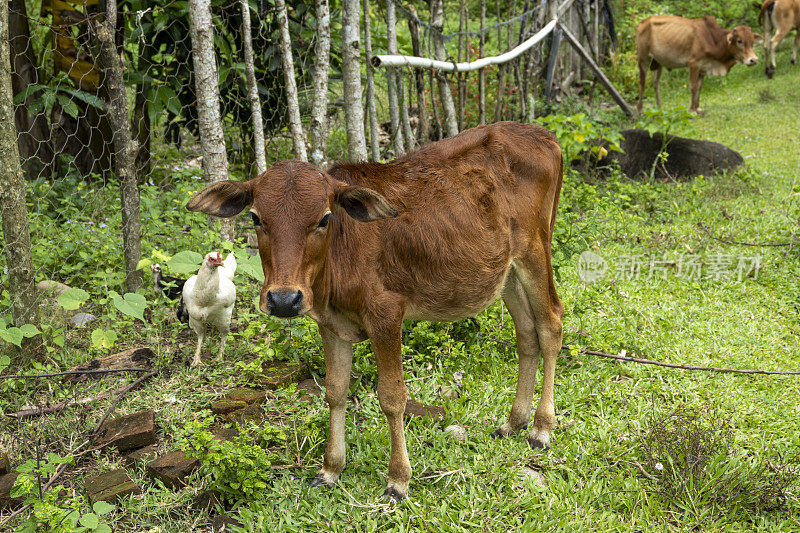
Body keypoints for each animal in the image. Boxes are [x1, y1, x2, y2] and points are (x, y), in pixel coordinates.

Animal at [186, 121, 564, 498]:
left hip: (534, 251)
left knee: (551, 325)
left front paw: (398, 479)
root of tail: (542, 135)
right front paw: (330, 468)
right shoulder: (330, 323)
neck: (341, 255)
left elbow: (392, 397)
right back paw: (514, 422)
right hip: (507, 272)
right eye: (255, 217)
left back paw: (541, 428)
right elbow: (335, 391)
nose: (283, 299)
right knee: (527, 334)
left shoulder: (387, 315)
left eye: (324, 218)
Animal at [636, 15, 764, 114]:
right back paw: (640, 109)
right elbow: (693, 87)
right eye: (739, 41)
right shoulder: (694, 64)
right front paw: (691, 110)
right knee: (642, 82)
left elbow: (699, 87)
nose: (753, 60)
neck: (713, 40)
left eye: (752, 41)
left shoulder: (703, 68)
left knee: (655, 82)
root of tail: (643, 21)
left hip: (658, 61)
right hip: (643, 58)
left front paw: (697, 108)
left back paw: (659, 107)